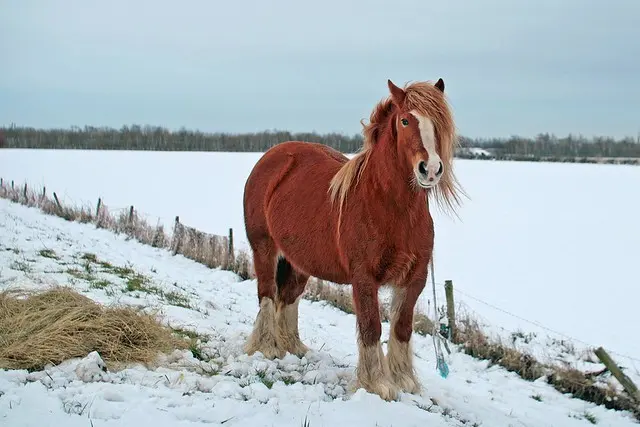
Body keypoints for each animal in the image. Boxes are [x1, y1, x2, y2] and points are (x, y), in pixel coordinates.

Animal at [242, 78, 464, 401]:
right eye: (405, 120)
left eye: (438, 122)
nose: (431, 169)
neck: (391, 208)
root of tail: (271, 158)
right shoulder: (364, 278)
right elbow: (371, 327)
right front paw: (376, 384)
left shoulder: (415, 278)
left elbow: (402, 328)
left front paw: (403, 380)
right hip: (264, 249)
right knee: (267, 294)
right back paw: (268, 347)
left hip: (299, 262)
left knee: (289, 297)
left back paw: (293, 347)